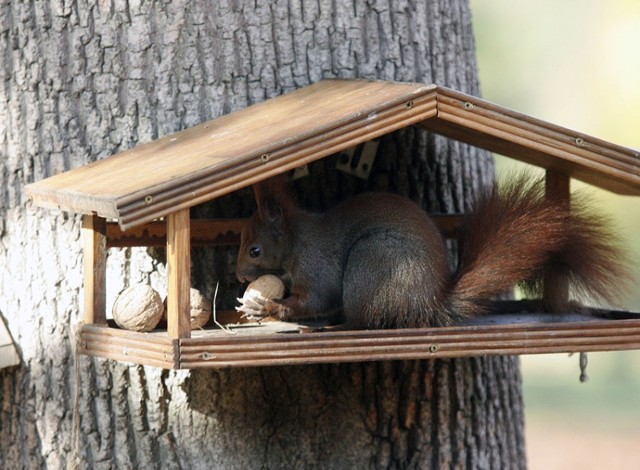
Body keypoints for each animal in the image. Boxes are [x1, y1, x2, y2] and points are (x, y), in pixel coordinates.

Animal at [236, 173, 632, 330]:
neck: (296, 240)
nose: (240, 276)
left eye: (254, 250)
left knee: (365, 319)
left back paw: (338, 325)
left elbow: (317, 298)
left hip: (372, 262)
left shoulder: (317, 265)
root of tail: (430, 304)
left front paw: (271, 308)